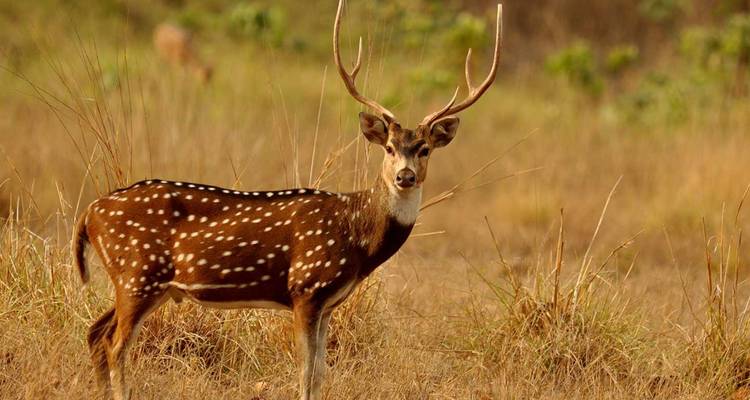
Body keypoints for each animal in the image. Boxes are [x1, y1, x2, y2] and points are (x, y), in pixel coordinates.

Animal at [73, 1, 502, 399]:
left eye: (425, 149)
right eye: (390, 148)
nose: (405, 176)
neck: (357, 236)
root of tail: (89, 214)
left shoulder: (328, 302)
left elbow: (321, 371)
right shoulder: (306, 286)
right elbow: (306, 372)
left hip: (143, 282)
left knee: (95, 332)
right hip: (138, 273)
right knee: (114, 344)